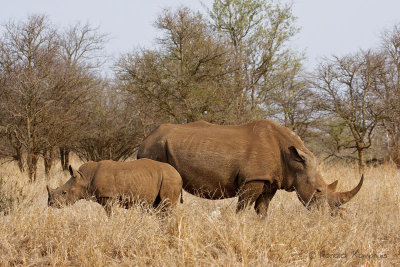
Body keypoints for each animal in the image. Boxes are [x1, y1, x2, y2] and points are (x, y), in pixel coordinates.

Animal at [46, 159, 183, 216]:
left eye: (64, 193)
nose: (50, 204)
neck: (84, 178)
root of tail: (178, 173)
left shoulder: (109, 197)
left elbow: (110, 214)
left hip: (171, 179)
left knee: (168, 206)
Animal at [137, 120, 362, 217]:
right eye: (319, 191)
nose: (332, 215)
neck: (295, 161)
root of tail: (143, 141)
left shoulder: (270, 181)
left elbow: (262, 209)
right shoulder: (253, 179)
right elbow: (243, 208)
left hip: (156, 147)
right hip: (154, 150)